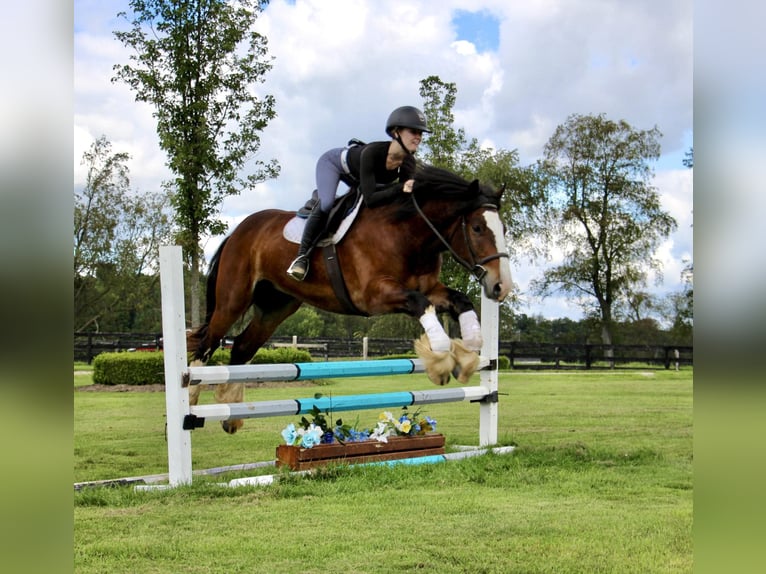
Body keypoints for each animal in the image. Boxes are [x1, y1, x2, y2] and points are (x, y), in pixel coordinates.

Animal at [187, 164, 512, 434]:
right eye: (477, 228)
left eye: (504, 229)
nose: (501, 287)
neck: (407, 234)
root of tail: (238, 232)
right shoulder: (374, 295)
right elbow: (420, 303)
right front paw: (441, 360)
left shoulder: (431, 287)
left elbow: (461, 301)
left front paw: (469, 353)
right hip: (233, 300)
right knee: (207, 344)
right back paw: (190, 407)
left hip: (277, 307)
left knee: (241, 347)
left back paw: (231, 417)